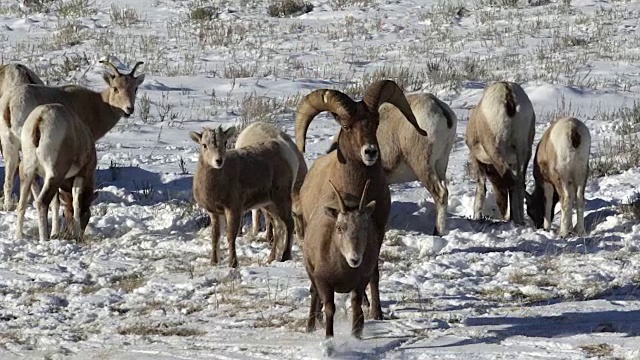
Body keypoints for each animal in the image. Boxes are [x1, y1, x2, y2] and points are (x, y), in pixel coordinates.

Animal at [14, 104, 97, 242]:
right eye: (87, 214)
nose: (80, 235)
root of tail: (40, 118)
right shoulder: (81, 175)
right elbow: (76, 203)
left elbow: (55, 203)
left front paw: (55, 232)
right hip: (54, 174)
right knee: (41, 202)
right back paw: (44, 238)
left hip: (28, 173)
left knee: (22, 204)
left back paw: (19, 236)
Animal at [190, 124, 298, 268]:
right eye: (204, 145)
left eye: (225, 143)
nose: (218, 161)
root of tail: (288, 153)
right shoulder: (214, 213)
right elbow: (215, 237)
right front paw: (214, 262)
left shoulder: (233, 209)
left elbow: (230, 236)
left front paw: (233, 263)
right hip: (269, 204)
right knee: (278, 227)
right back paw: (270, 259)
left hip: (281, 198)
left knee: (289, 224)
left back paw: (285, 257)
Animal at [296, 79, 428, 320]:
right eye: (347, 126)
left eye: (375, 123)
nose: (370, 152)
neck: (357, 187)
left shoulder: (376, 232)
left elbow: (373, 273)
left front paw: (376, 313)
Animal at [464, 81, 536, 225]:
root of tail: (508, 93)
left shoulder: (477, 161)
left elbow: (481, 189)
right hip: (523, 152)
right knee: (520, 183)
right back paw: (520, 220)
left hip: (495, 150)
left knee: (512, 182)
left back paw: (515, 220)